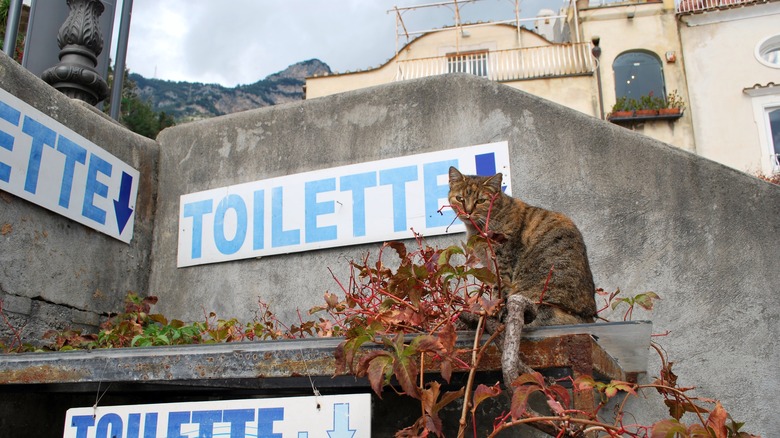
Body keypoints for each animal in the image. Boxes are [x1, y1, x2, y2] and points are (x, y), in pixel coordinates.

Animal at [448, 169, 596, 386]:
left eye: (481, 200)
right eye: (460, 198)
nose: (467, 211)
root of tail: (587, 317)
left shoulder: (503, 264)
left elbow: (498, 293)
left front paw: (492, 310)